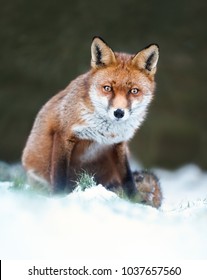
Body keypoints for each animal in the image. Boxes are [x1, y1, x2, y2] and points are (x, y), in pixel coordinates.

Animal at [22, 36, 162, 208]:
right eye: (107, 88)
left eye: (134, 91)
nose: (119, 113)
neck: (104, 132)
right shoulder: (64, 135)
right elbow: (60, 175)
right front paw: (59, 198)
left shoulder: (119, 144)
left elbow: (128, 178)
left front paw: (135, 201)